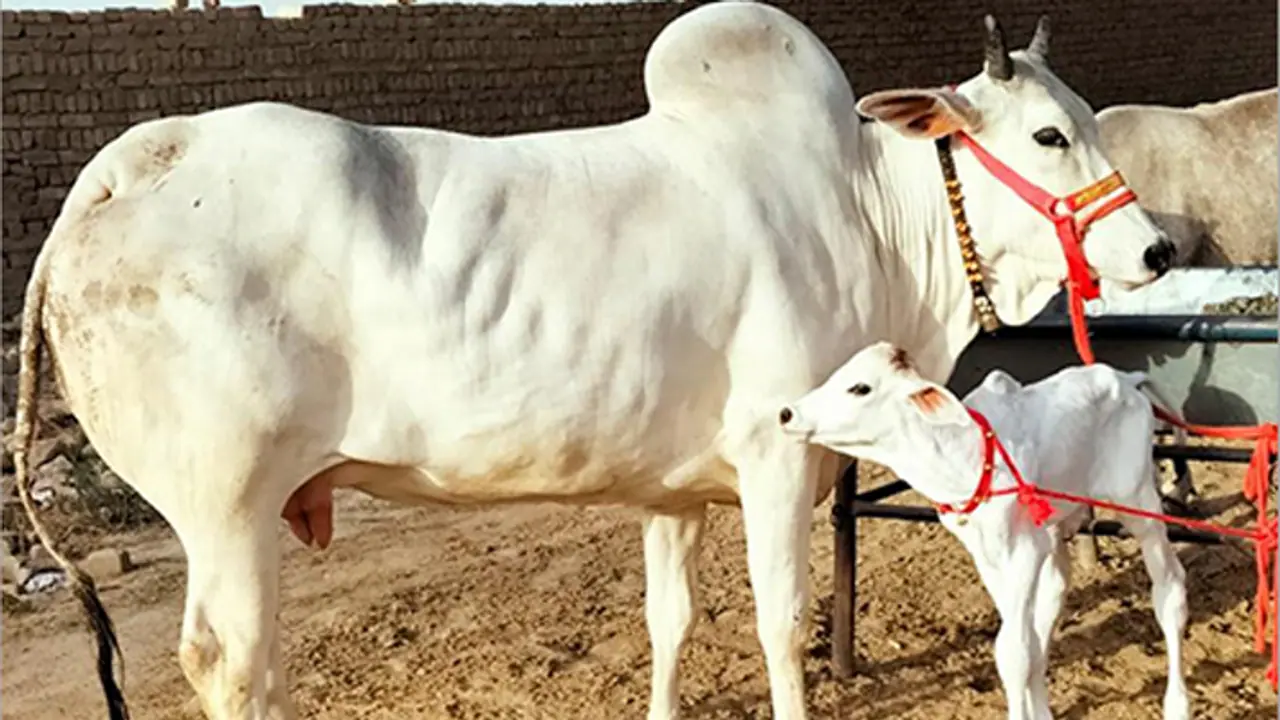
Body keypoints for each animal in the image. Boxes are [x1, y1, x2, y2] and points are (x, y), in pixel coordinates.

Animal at [12, 3, 1173, 719]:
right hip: (228, 505)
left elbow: (670, 621)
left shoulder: (673, 492)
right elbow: (783, 621)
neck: (865, 210)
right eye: (1047, 135)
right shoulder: (775, 457)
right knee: (231, 662)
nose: (1156, 249)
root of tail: (126, 167)